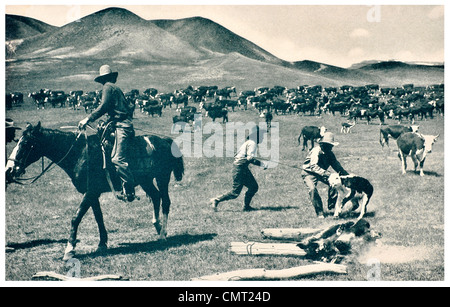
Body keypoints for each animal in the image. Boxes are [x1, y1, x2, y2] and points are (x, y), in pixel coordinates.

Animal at [5, 121, 185, 262]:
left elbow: (75, 218)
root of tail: (166, 141)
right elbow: (99, 217)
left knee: (165, 201)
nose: (9, 169)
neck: (79, 153)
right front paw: (102, 244)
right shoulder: (93, 194)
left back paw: (162, 235)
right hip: (146, 181)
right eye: (17, 141)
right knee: (156, 197)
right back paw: (158, 226)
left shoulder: (90, 192)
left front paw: (69, 250)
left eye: (26, 144)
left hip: (162, 178)